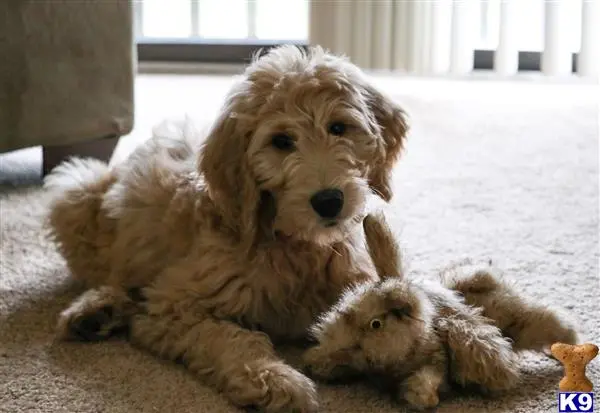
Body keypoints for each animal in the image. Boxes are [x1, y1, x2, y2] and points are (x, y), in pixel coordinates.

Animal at [42, 45, 408, 412]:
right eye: (281, 141)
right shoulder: (173, 307)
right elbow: (230, 338)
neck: (295, 246)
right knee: (109, 274)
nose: (329, 201)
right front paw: (273, 378)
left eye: (338, 127)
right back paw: (98, 308)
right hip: (76, 191)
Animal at [304, 212, 576, 408]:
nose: (337, 342)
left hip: (523, 320)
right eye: (344, 306)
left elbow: (426, 383)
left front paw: (424, 398)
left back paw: (569, 350)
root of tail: (489, 281)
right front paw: (316, 365)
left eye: (376, 324)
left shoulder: (437, 361)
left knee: (556, 324)